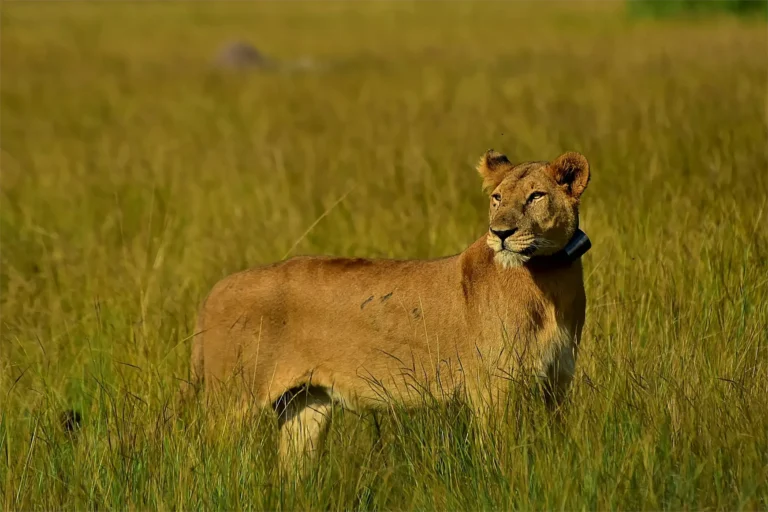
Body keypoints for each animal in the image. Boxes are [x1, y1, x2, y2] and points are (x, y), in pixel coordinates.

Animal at [185, 150, 591, 469]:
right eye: (496, 197)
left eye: (536, 196)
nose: (500, 233)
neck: (550, 281)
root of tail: (214, 291)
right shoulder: (493, 388)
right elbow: (502, 453)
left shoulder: (557, 383)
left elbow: (557, 444)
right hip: (231, 402)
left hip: (305, 406)